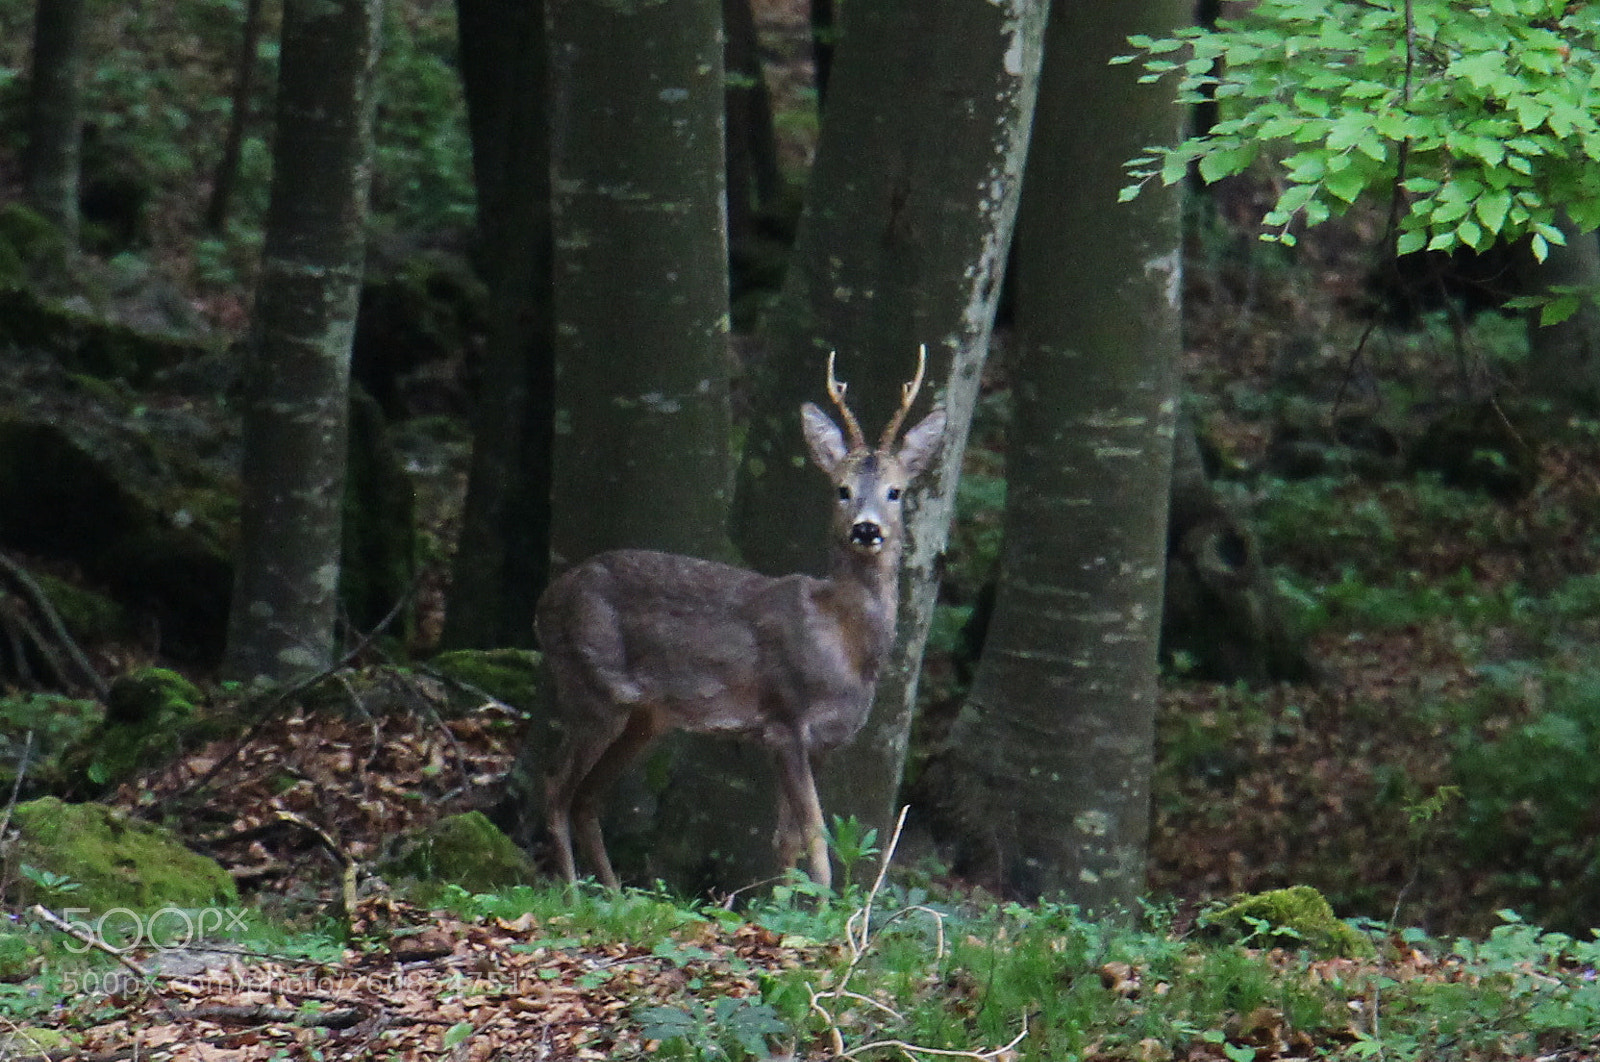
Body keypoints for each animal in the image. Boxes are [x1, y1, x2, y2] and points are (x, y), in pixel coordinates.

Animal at [535, 349, 947, 891]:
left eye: (896, 491)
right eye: (842, 489)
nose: (866, 529)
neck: (843, 644)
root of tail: (545, 601)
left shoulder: (820, 741)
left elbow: (788, 839)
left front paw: (780, 907)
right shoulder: (785, 719)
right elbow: (816, 840)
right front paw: (822, 908)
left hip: (645, 717)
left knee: (586, 797)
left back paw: (615, 894)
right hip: (592, 687)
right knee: (555, 787)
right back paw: (571, 892)